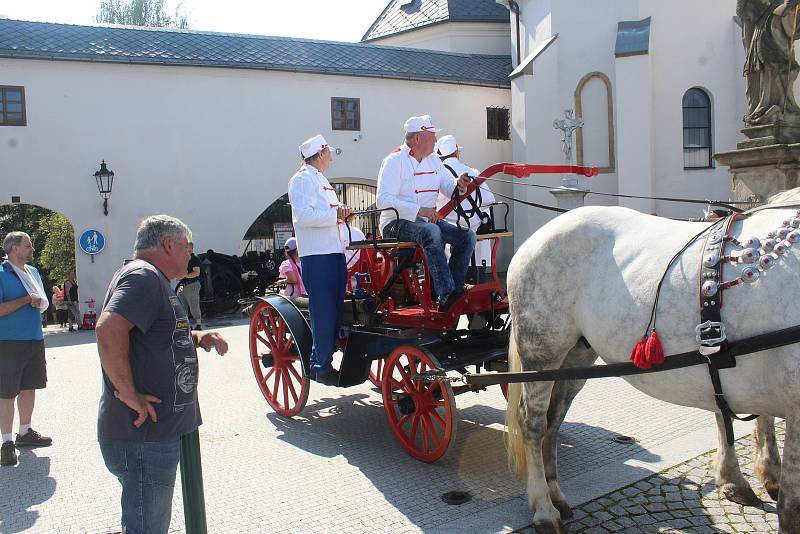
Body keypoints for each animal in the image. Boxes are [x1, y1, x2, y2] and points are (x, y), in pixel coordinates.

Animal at [510, 191, 796, 534]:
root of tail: (541, 232)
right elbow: (791, 504)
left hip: (576, 354)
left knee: (554, 419)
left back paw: (555, 494)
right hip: (542, 349)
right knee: (533, 423)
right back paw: (543, 507)